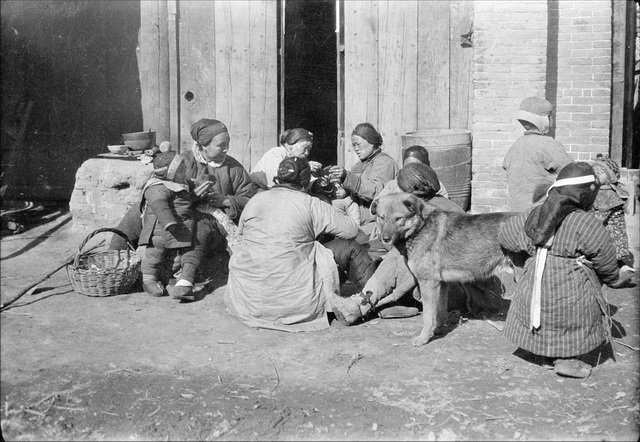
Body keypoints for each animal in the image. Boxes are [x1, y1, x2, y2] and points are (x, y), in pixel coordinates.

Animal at [370, 195, 516, 348]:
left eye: (399, 218)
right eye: (381, 217)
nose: (385, 239)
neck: (420, 227)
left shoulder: (428, 283)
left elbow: (427, 316)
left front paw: (423, 338)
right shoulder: (442, 284)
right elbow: (439, 312)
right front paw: (436, 331)